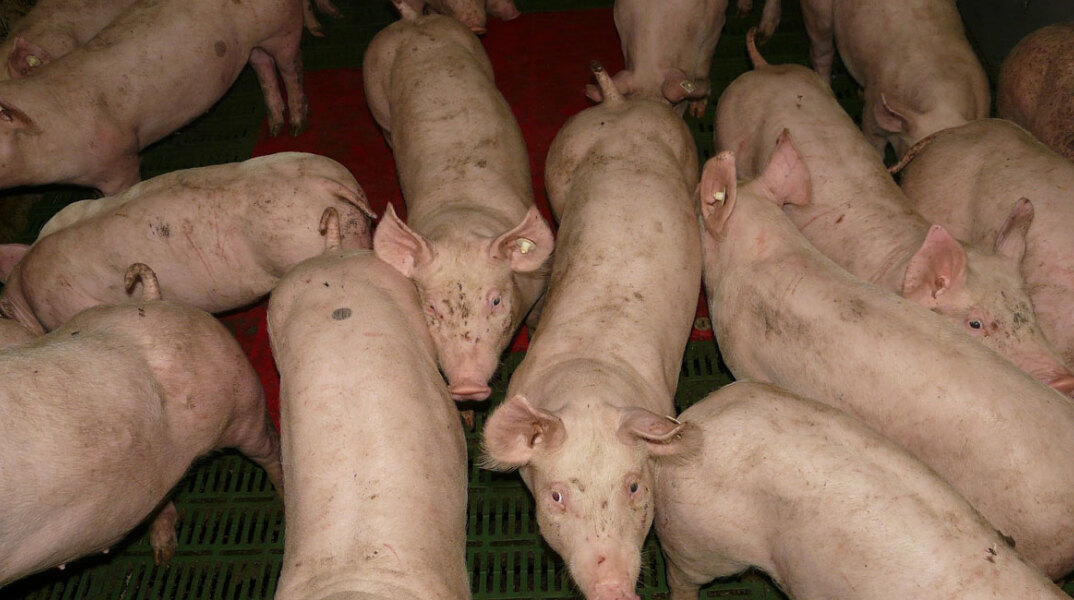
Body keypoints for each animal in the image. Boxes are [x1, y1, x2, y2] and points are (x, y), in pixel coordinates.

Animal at [363, 5, 554, 402]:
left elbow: (535, 317)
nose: (467, 385)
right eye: (432, 308)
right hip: (375, 95)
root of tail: (413, 21)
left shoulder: (541, 278)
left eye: (495, 301)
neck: (462, 223)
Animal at [480, 63, 701, 600]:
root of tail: (618, 105)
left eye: (635, 486)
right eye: (558, 496)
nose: (614, 587)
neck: (589, 385)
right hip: (559, 161)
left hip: (685, 148)